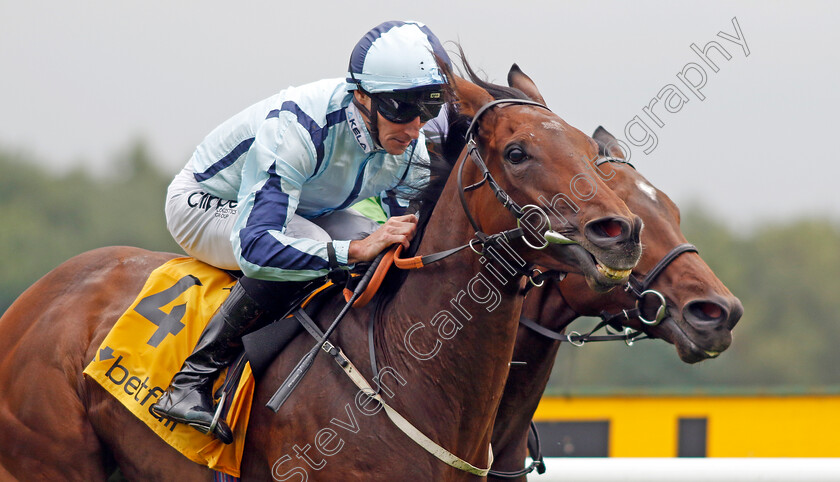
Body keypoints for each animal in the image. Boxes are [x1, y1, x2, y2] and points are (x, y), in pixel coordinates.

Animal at [0, 69, 644, 480]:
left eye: (590, 151)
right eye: (517, 152)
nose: (620, 232)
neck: (405, 368)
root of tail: (32, 300)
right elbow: (263, 242)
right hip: (49, 460)